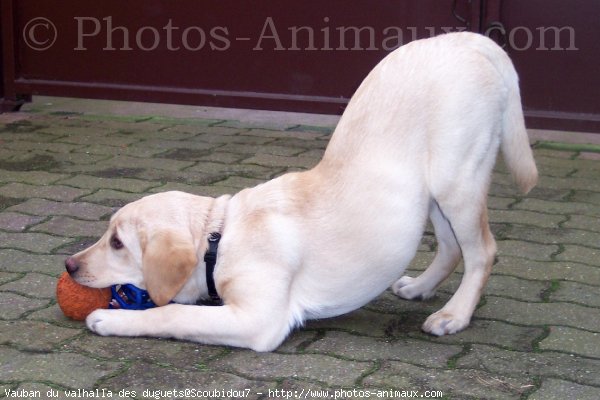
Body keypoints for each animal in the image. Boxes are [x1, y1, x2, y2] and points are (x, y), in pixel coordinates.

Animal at [67, 32, 540, 352]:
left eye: (117, 243)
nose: (69, 265)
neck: (220, 239)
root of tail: (466, 38)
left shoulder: (259, 319)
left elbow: (173, 313)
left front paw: (109, 320)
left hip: (457, 178)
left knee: (482, 251)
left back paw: (454, 315)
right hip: (436, 193)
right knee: (452, 246)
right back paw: (420, 288)